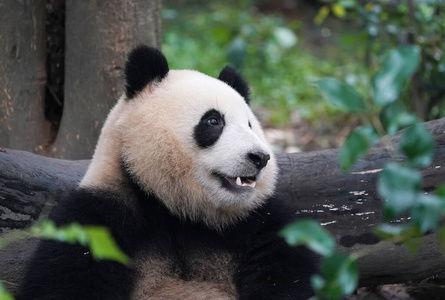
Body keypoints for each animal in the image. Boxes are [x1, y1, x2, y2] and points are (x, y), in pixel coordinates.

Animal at [16, 45, 316, 300]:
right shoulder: (99, 217)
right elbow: (66, 280)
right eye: (214, 121)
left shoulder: (259, 222)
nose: (260, 157)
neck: (178, 211)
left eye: (251, 125)